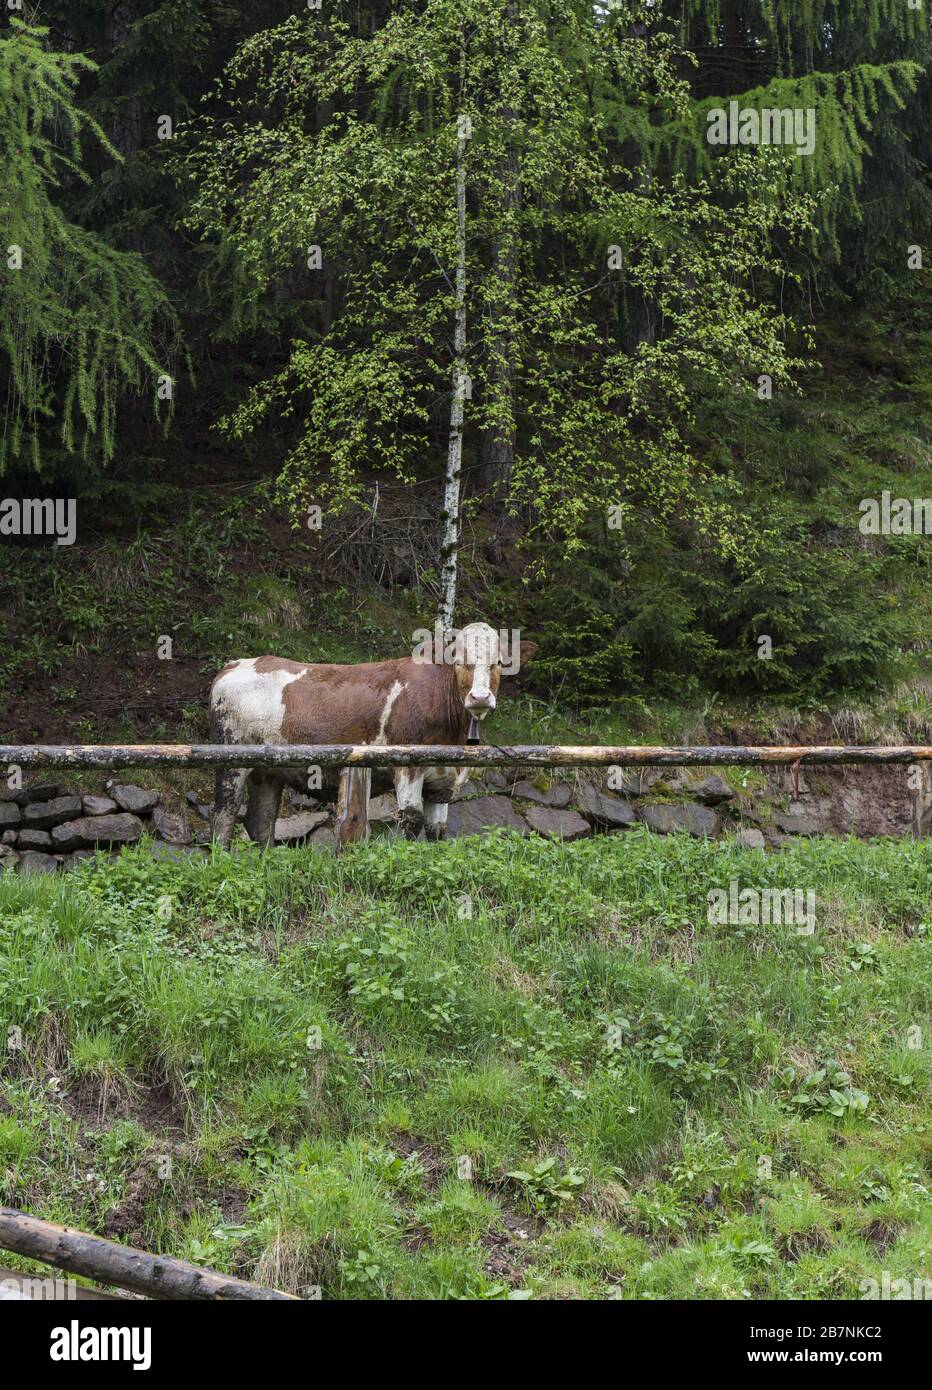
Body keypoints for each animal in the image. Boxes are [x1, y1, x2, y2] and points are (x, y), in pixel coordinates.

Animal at [209, 623, 536, 848]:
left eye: (497, 663)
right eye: (459, 661)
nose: (479, 697)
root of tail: (236, 664)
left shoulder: (443, 781)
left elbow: (437, 829)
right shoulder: (407, 767)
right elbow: (411, 820)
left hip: (268, 771)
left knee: (261, 821)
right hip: (231, 760)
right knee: (224, 816)